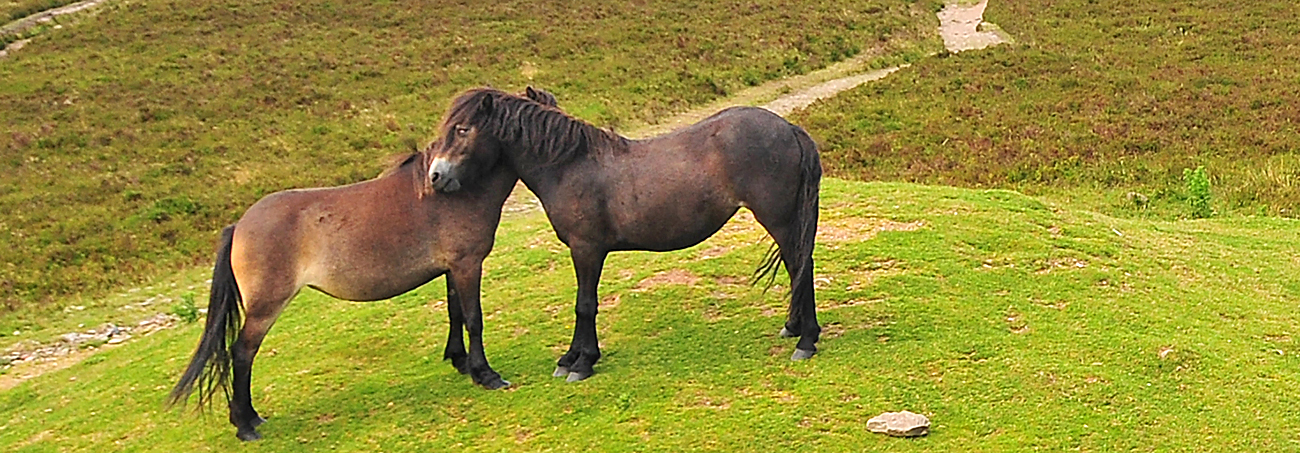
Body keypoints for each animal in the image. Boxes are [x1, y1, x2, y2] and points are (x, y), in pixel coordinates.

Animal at [165, 86, 556, 439]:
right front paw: (485, 374)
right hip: (265, 308)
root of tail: (239, 226)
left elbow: (455, 313)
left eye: (462, 129)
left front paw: (461, 364)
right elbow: (474, 319)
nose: (437, 176)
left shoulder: (452, 269)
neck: (457, 192)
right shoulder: (467, 265)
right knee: (242, 353)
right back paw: (246, 425)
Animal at [426, 87, 816, 382]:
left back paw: (806, 341)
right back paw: (794, 327)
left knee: (801, 267)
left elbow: (584, 304)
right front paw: (570, 358)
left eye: (462, 129)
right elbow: (582, 303)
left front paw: (582, 362)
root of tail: (788, 128)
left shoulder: (586, 249)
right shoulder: (584, 250)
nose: (435, 176)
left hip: (780, 219)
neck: (570, 166)